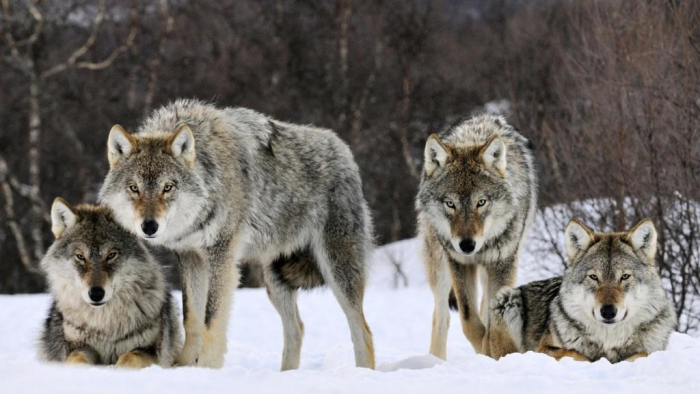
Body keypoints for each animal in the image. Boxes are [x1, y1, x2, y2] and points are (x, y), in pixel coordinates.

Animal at [38, 200, 182, 370]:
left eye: (111, 255)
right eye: (80, 256)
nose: (96, 294)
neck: (104, 324)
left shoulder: (150, 351)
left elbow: (128, 358)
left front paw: (115, 369)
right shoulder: (77, 346)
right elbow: (77, 359)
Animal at [98, 98, 374, 370]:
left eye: (168, 187)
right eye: (134, 188)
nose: (149, 227)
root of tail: (343, 149)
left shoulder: (222, 256)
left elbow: (211, 320)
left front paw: (206, 369)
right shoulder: (190, 257)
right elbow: (191, 319)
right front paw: (185, 367)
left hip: (337, 270)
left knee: (363, 330)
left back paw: (362, 372)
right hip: (275, 280)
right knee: (297, 329)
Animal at [490, 219, 676, 364]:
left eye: (625, 276)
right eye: (593, 277)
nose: (608, 312)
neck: (609, 340)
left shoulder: (652, 350)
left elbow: (641, 354)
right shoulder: (543, 349)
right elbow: (576, 354)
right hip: (507, 299)